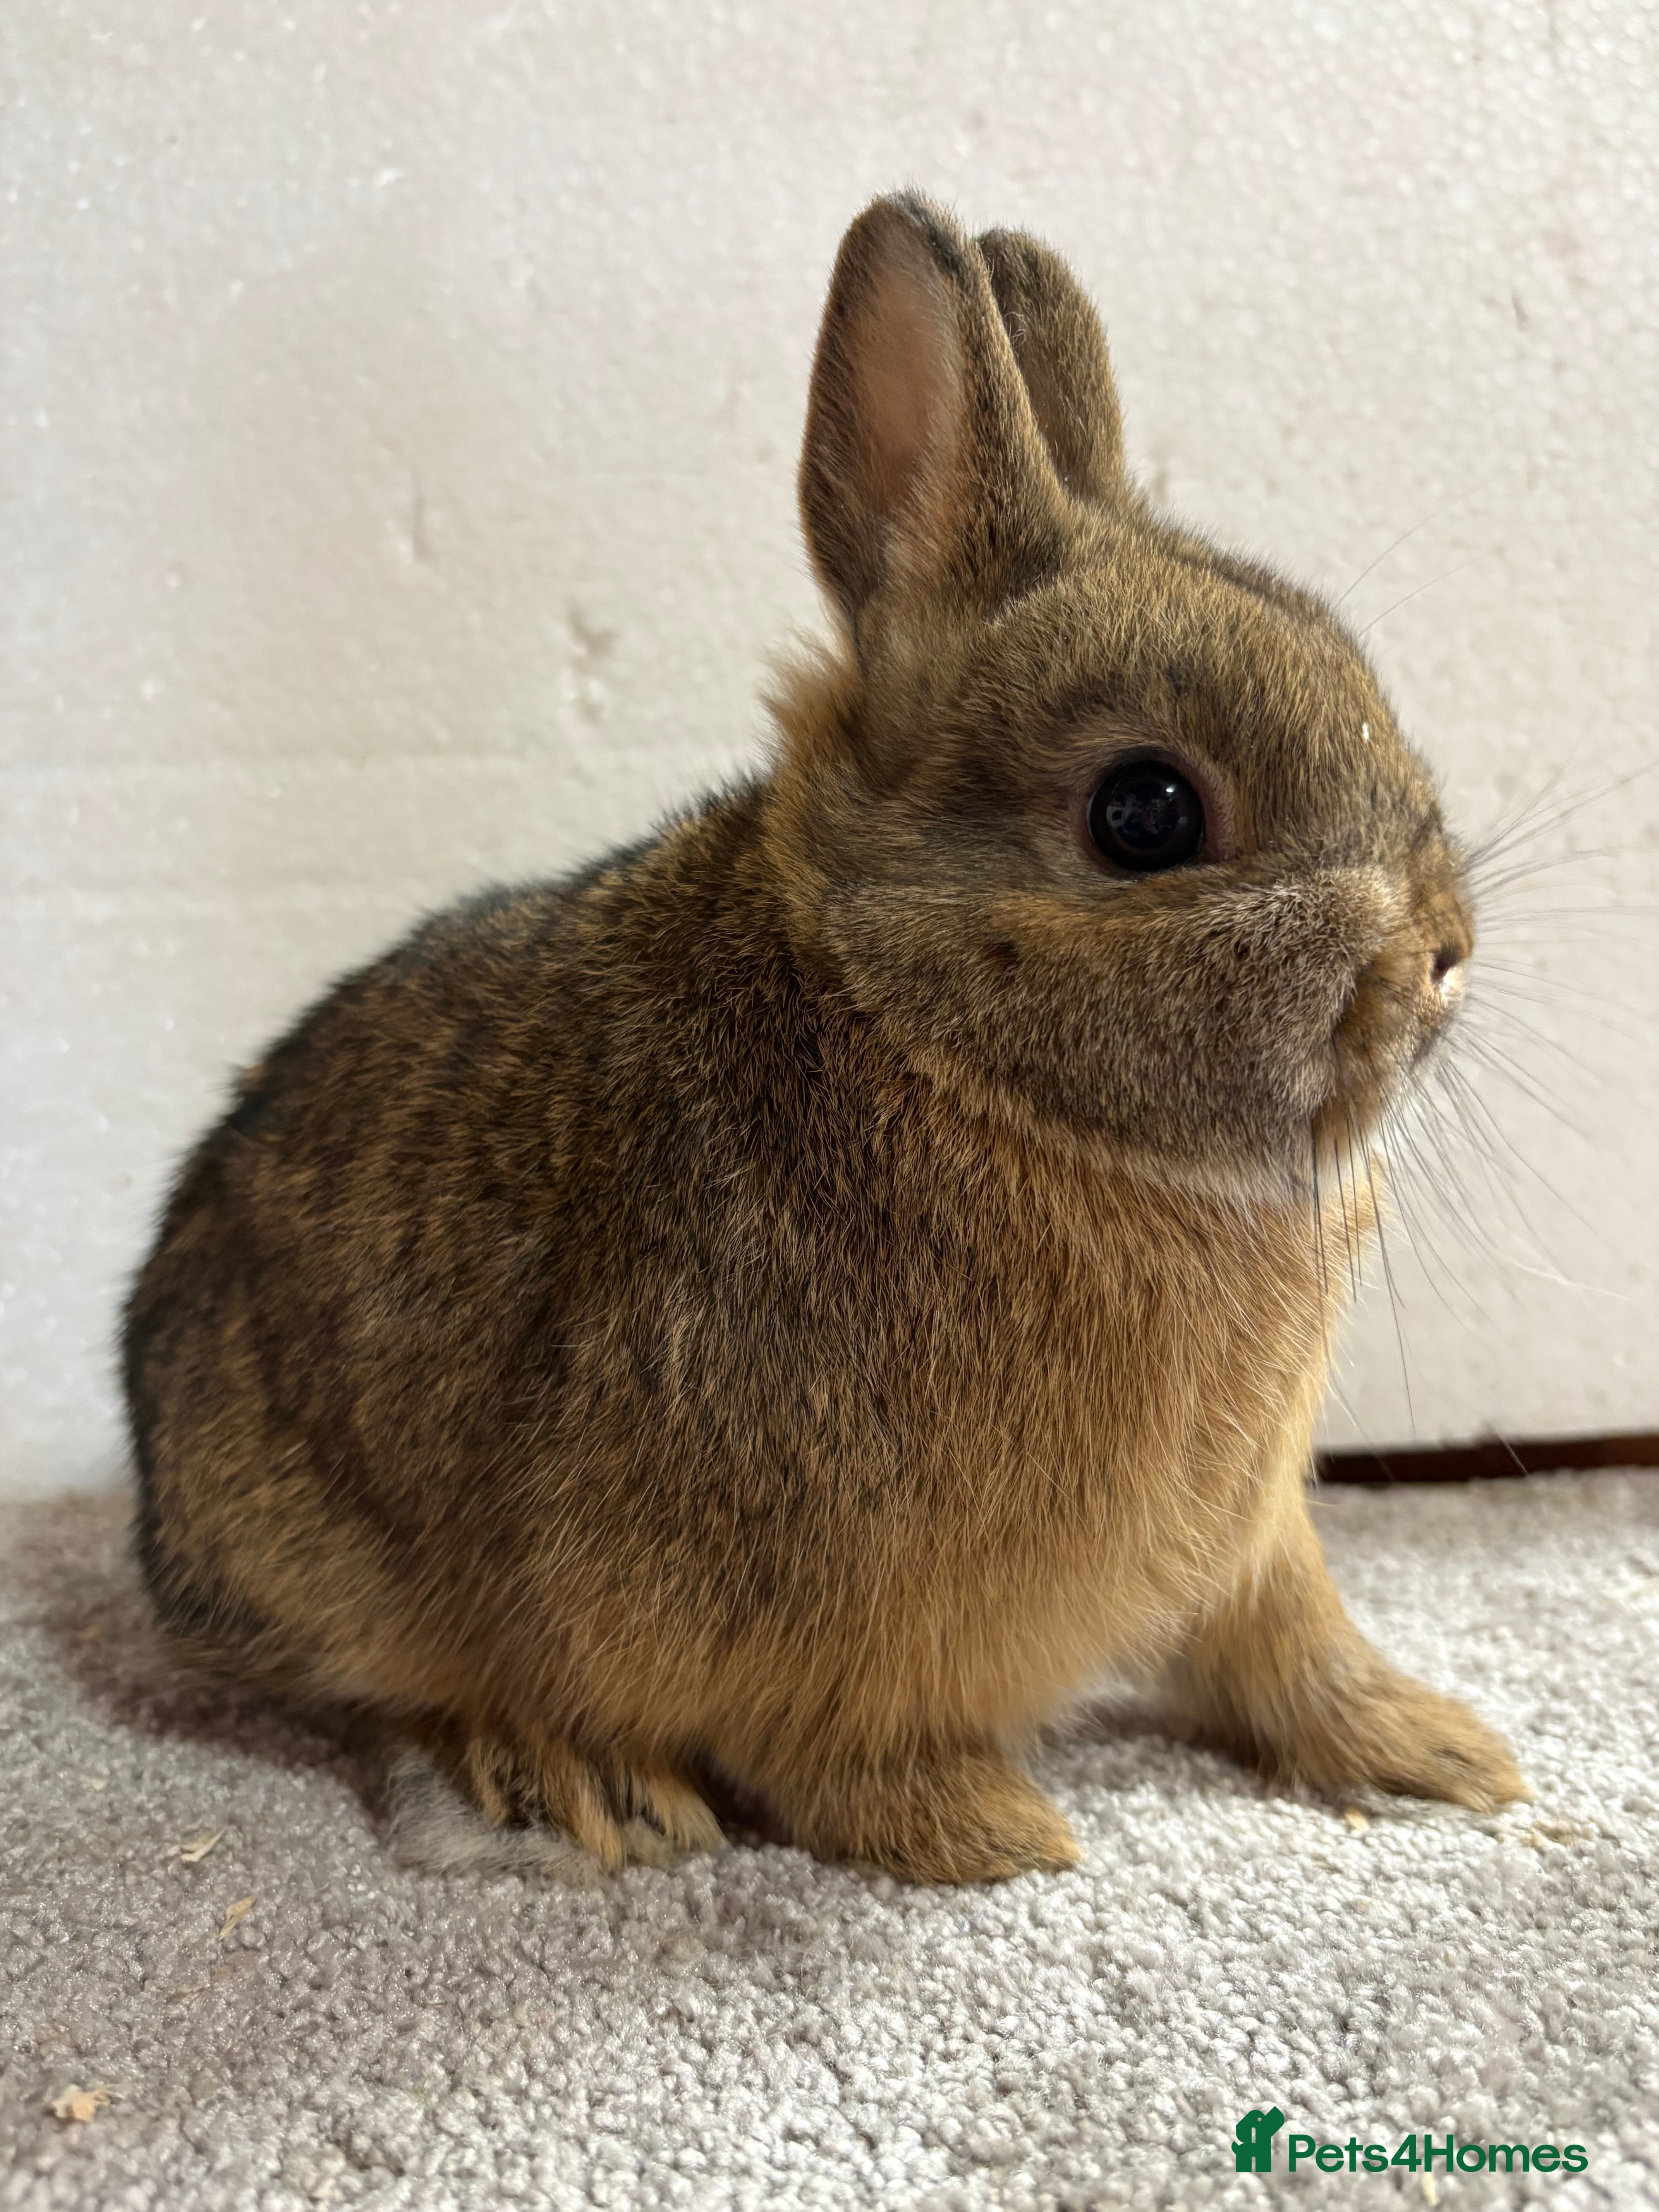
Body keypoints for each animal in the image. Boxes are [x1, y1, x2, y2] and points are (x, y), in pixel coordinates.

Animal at [122, 192, 1528, 1884]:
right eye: (1146, 813)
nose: (1439, 956)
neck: (940, 1049)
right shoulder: (809, 1605)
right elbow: (828, 1749)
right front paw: (989, 1831)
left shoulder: (1252, 1546)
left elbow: (1290, 1649)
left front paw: (1438, 1756)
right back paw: (574, 1782)